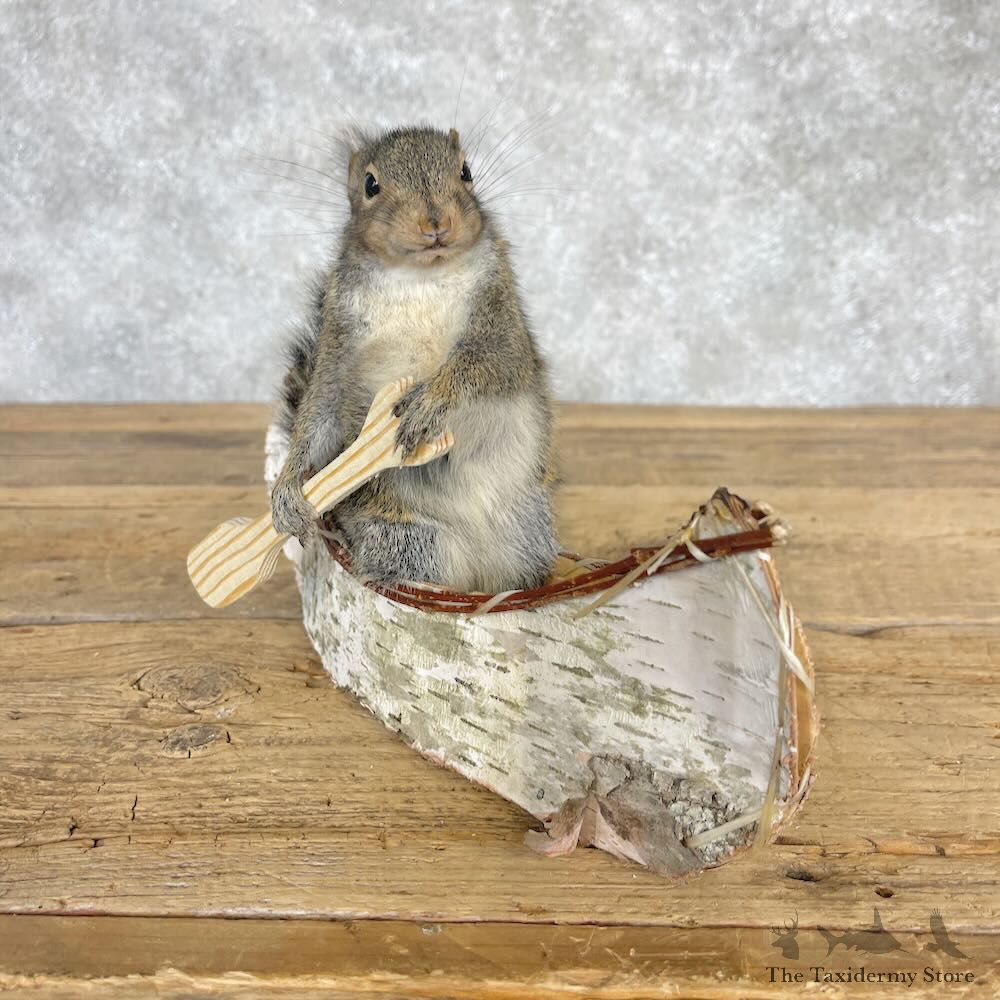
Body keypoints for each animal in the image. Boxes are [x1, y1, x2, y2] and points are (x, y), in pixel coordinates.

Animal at [270, 125, 558, 593]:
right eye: (370, 185)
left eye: (466, 170)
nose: (436, 222)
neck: (420, 277)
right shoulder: (338, 342)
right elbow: (319, 414)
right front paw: (288, 487)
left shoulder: (502, 322)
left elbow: (492, 363)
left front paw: (430, 402)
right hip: (407, 538)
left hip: (528, 528)